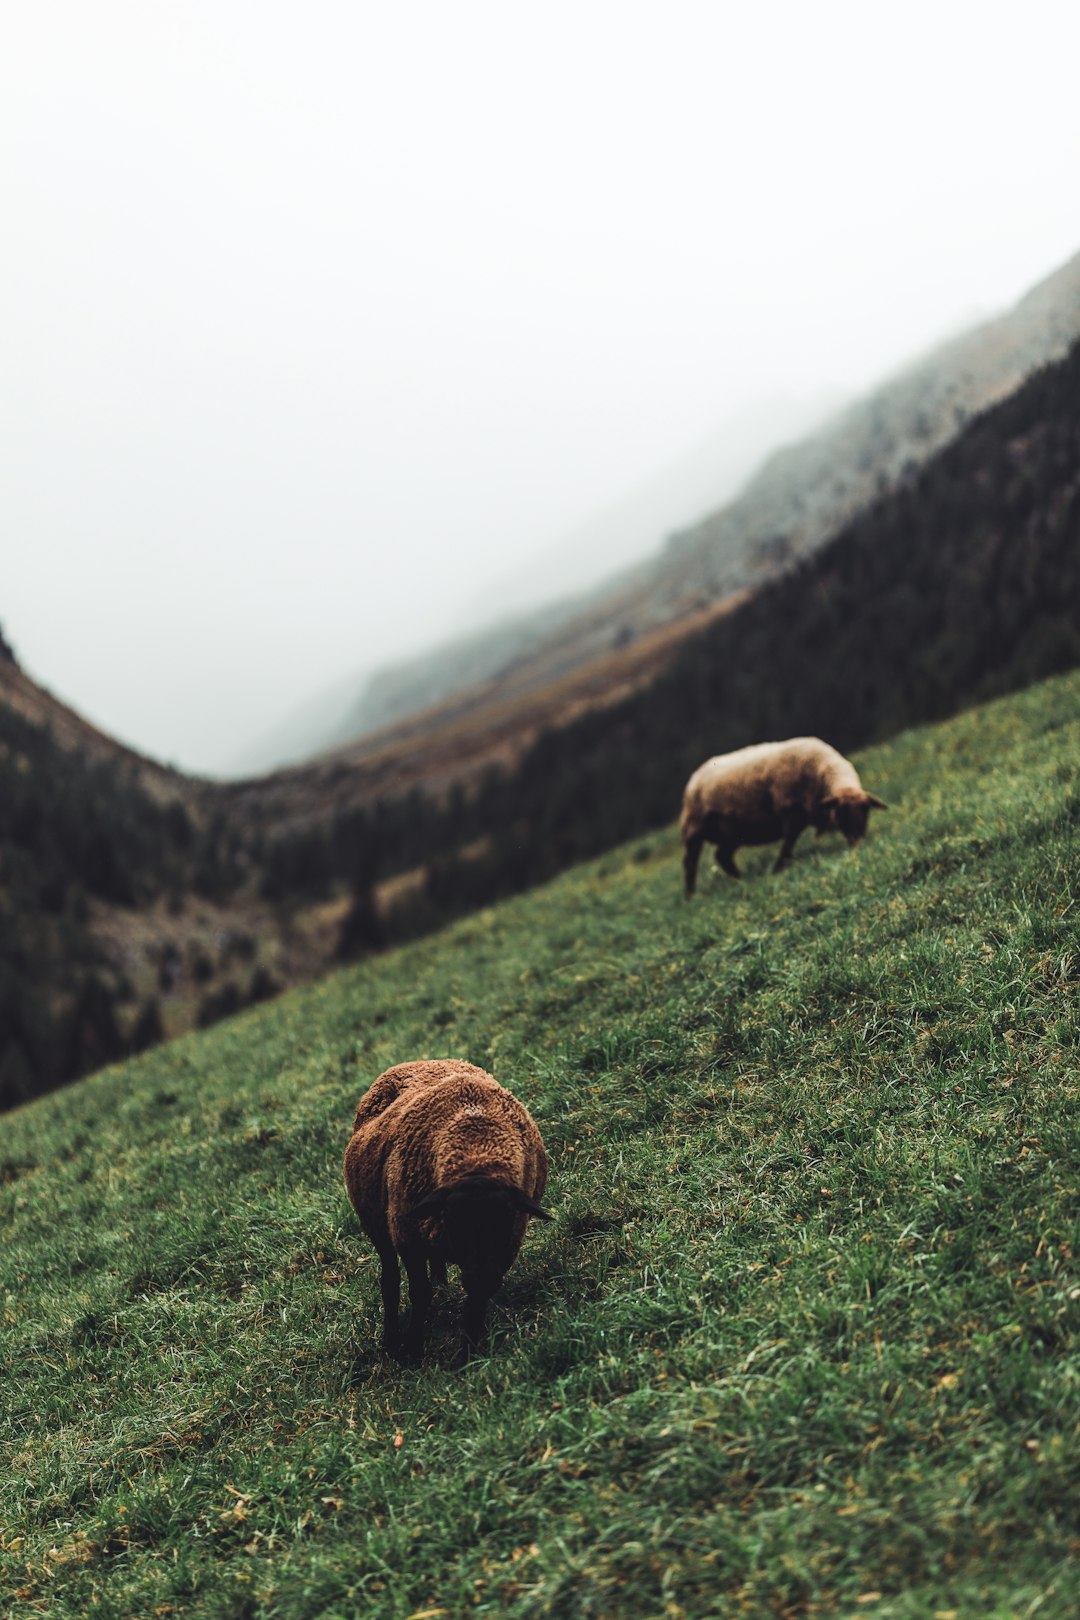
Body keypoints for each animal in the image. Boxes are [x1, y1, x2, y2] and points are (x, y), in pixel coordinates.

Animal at [344, 1056, 550, 1360]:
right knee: (390, 1281)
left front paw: (470, 1350)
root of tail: (418, 1061)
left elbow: (477, 1296)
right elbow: (419, 1293)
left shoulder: (505, 1247)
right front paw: (412, 1349)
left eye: (504, 1220)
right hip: (378, 1227)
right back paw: (391, 1340)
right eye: (455, 1221)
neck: (477, 1151)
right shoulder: (408, 1239)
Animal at [683, 738, 887, 900]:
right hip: (694, 829)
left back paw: (740, 879)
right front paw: (778, 868)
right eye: (841, 812)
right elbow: (788, 844)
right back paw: (691, 895)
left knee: (722, 855)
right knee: (690, 862)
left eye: (866, 811)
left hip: (732, 832)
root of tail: (693, 777)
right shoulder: (789, 813)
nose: (857, 841)